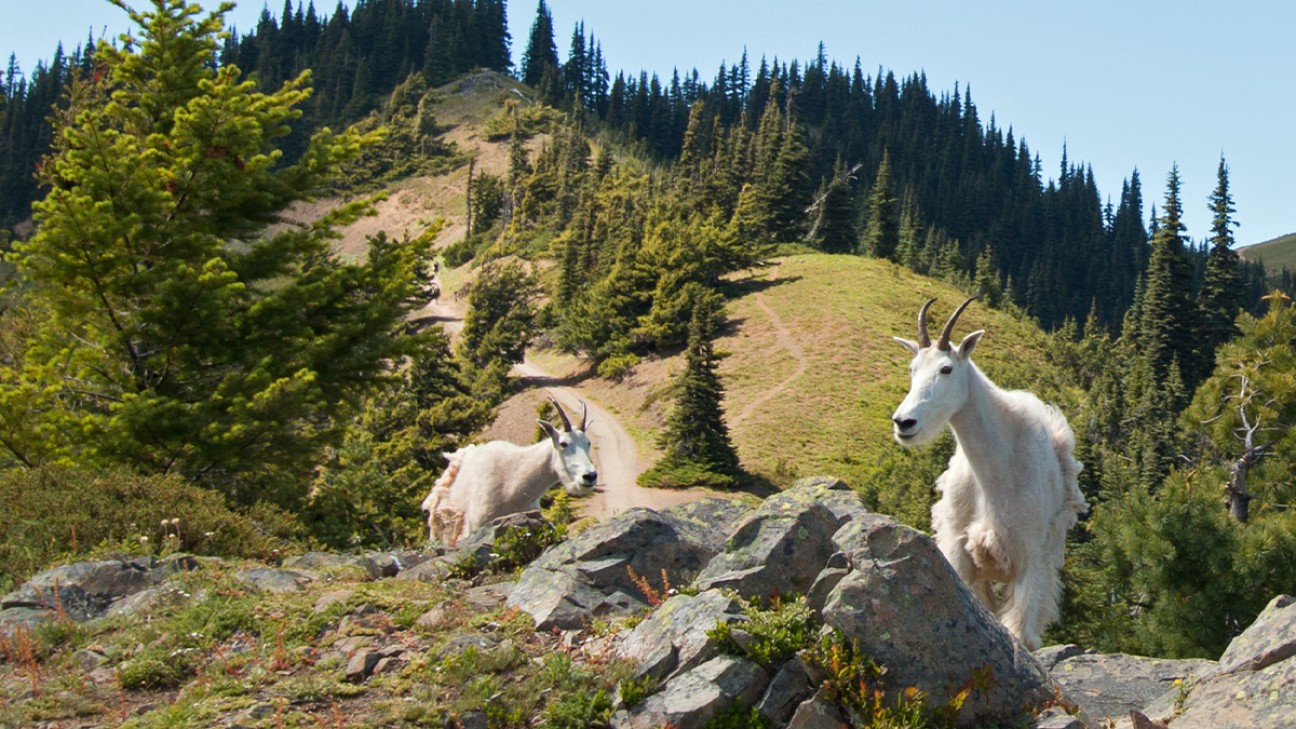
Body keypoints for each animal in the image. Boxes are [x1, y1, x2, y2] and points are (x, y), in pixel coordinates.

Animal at [886, 295, 1088, 645]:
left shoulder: (1029, 557)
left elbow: (1020, 632)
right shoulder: (959, 552)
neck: (994, 468)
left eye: (946, 368)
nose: (904, 422)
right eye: (912, 369)